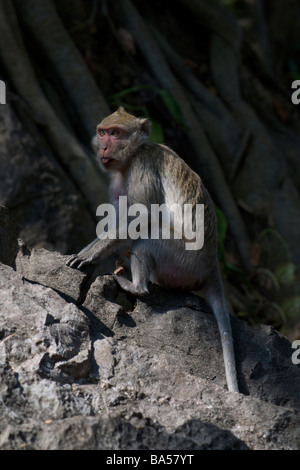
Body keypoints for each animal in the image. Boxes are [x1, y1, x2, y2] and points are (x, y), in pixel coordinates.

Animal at [67, 106, 239, 392]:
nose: (104, 146)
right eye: (102, 132)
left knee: (147, 235)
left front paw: (88, 255)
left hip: (184, 262)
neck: (132, 156)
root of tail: (212, 265)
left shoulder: (142, 167)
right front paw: (85, 253)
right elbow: (117, 222)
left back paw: (136, 286)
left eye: (116, 133)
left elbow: (141, 217)